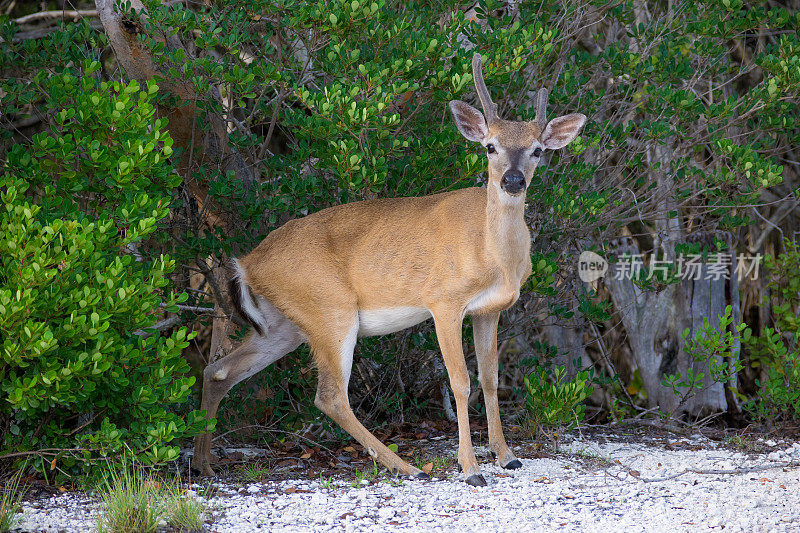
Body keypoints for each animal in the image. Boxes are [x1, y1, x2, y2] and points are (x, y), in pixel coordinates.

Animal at [191, 54, 584, 486]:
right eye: (489, 146)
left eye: (537, 150)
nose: (512, 180)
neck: (491, 254)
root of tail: (247, 263)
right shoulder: (443, 300)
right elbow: (460, 382)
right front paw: (470, 468)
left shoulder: (490, 309)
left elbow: (491, 379)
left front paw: (506, 456)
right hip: (330, 309)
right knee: (329, 395)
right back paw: (404, 464)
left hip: (284, 324)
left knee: (219, 370)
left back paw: (204, 464)